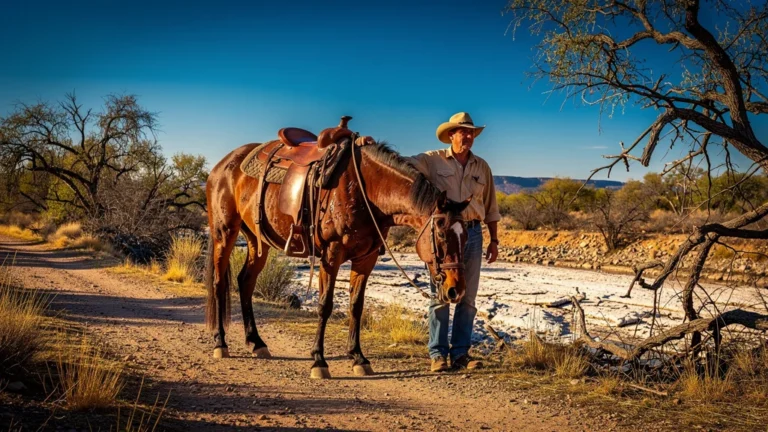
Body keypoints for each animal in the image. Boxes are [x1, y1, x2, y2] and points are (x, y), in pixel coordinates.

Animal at [204, 124, 470, 379]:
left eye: (466, 236)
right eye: (442, 235)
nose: (456, 290)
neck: (366, 190)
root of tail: (221, 166)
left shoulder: (366, 259)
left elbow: (356, 306)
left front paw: (358, 358)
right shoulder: (331, 254)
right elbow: (325, 305)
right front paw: (319, 361)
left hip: (257, 241)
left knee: (245, 281)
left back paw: (256, 342)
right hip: (223, 233)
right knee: (219, 282)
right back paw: (220, 343)